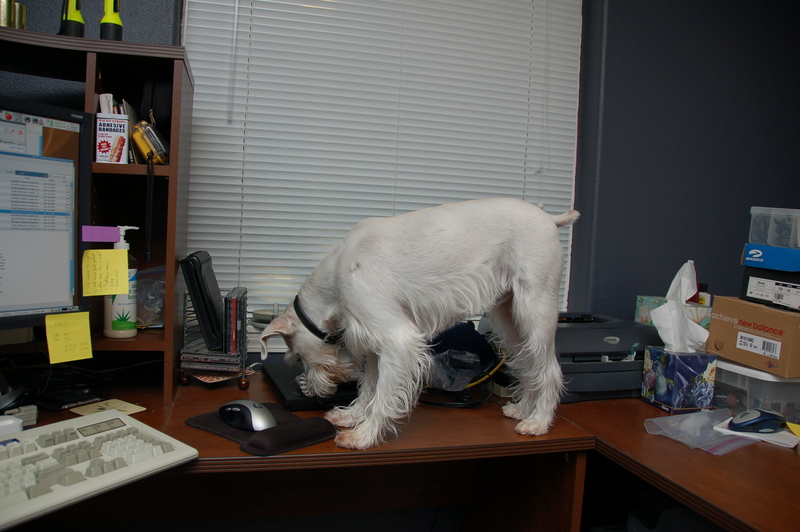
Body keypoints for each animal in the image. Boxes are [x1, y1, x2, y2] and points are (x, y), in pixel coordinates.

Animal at [259, 198, 579, 450]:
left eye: (296, 356)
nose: (306, 391)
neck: (337, 273)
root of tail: (549, 218)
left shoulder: (397, 340)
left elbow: (383, 394)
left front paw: (364, 435)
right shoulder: (376, 346)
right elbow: (369, 387)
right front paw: (352, 416)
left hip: (535, 311)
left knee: (550, 370)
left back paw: (538, 422)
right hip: (510, 319)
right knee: (529, 366)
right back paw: (524, 410)